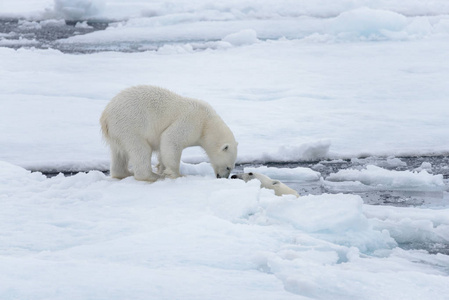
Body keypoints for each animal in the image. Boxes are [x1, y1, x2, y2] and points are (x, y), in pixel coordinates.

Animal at [99, 85, 238, 182]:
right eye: (228, 167)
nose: (223, 177)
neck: (207, 123)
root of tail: (106, 116)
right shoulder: (191, 122)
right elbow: (170, 138)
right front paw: (177, 174)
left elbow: (163, 148)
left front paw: (162, 168)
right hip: (130, 125)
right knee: (140, 149)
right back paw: (152, 176)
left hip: (117, 132)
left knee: (119, 154)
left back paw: (124, 173)